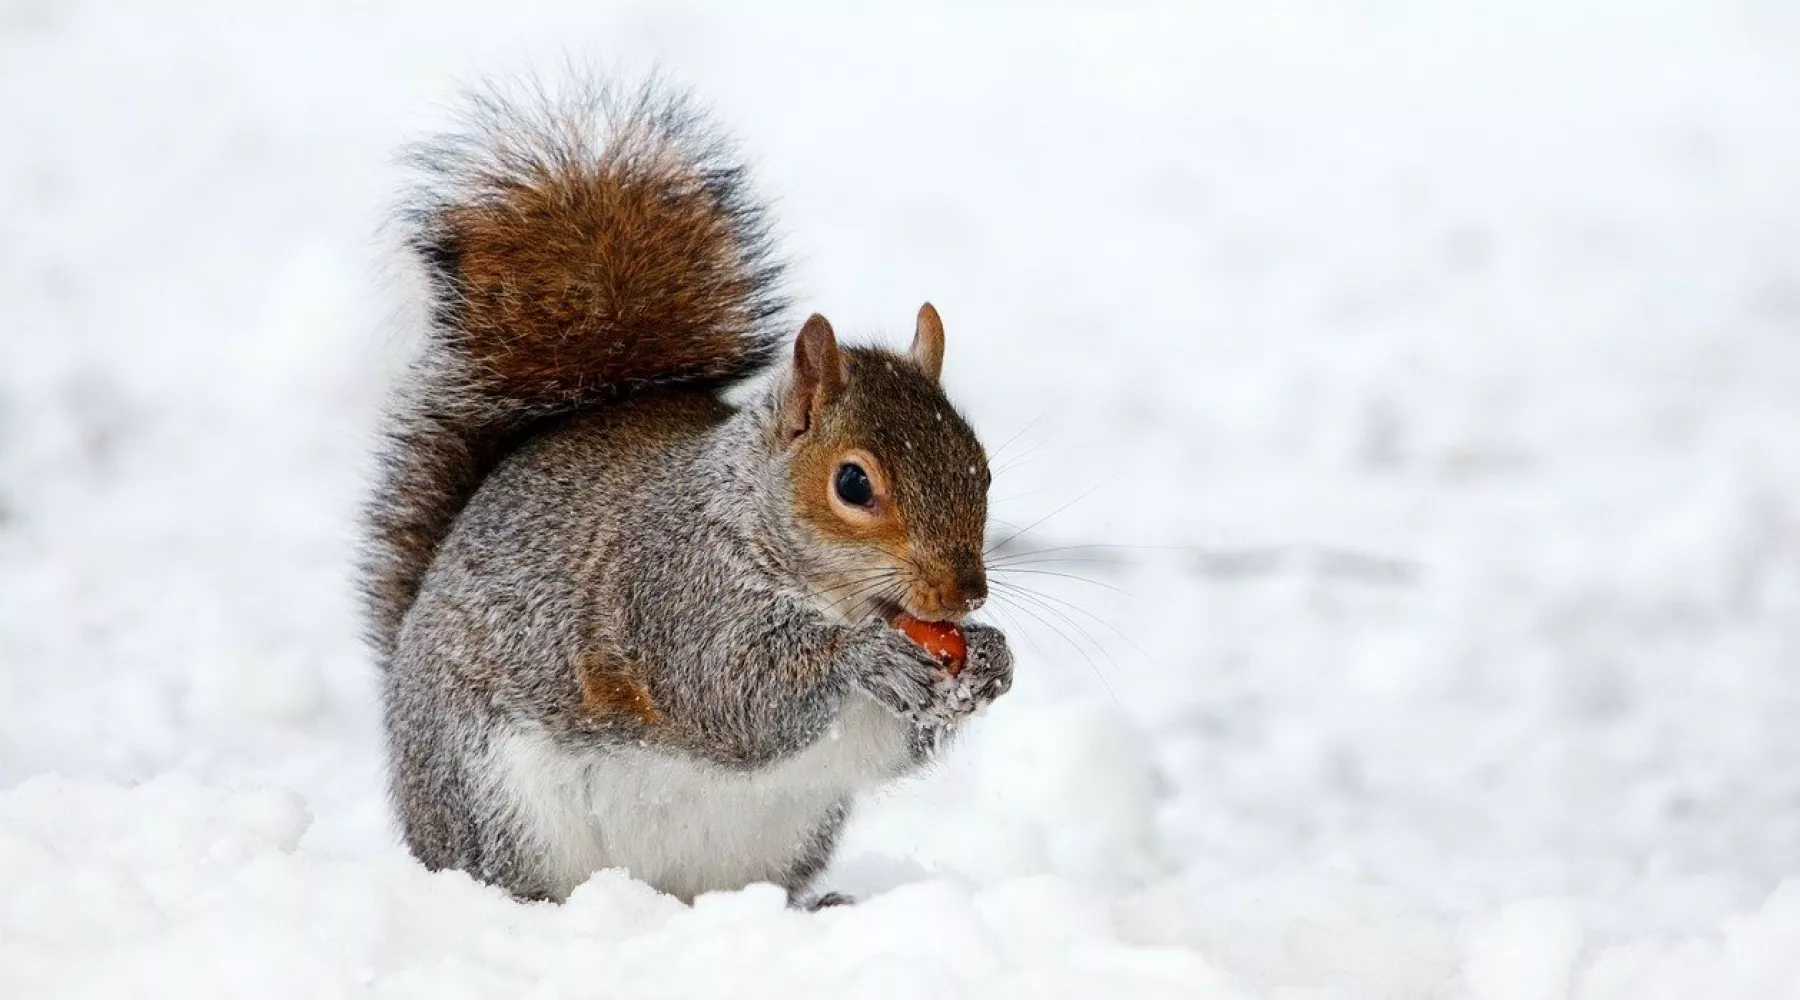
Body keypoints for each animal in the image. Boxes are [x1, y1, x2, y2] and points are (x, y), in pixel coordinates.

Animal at [358, 78, 1022, 906]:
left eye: (982, 468)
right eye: (853, 483)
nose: (966, 595)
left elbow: (900, 742)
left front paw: (992, 660)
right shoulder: (673, 591)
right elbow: (731, 690)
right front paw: (865, 658)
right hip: (495, 801)